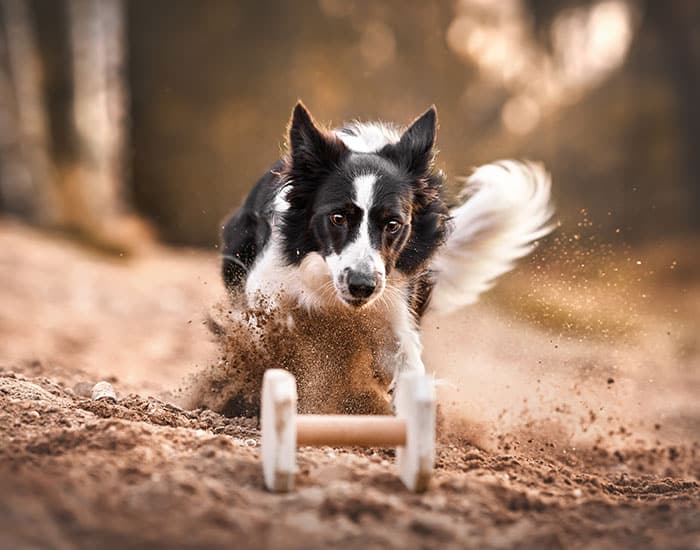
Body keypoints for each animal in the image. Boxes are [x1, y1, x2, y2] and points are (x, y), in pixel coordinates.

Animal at [221, 103, 556, 394]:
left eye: (393, 224)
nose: (362, 286)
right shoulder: (268, 288)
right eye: (338, 218)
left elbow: (409, 371)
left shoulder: (396, 312)